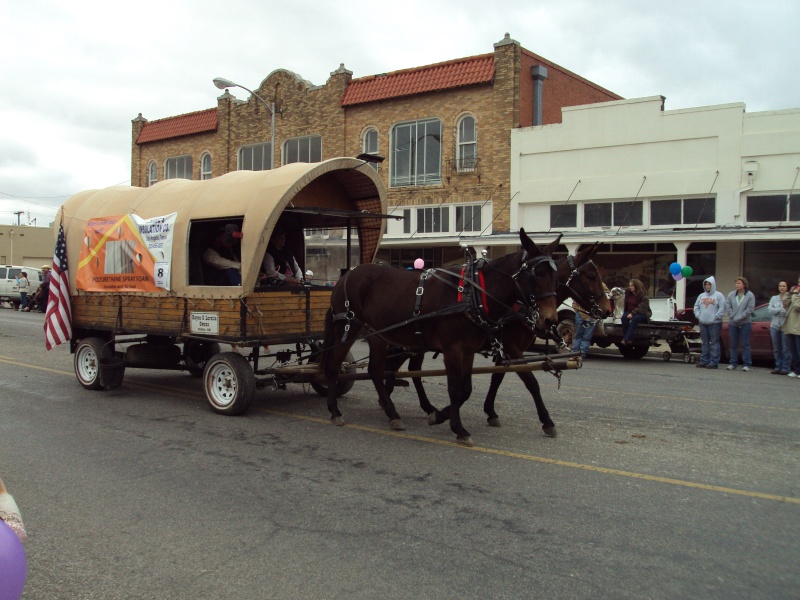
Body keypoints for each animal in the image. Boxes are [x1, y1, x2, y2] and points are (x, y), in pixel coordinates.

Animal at [316, 230, 560, 446]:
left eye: (555, 276)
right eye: (537, 274)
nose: (550, 320)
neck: (473, 293)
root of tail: (344, 276)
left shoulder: (469, 350)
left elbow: (466, 389)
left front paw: (439, 416)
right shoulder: (453, 349)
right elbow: (456, 389)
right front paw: (458, 428)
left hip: (377, 335)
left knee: (375, 371)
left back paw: (392, 414)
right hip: (348, 327)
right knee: (334, 365)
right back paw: (335, 410)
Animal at [390, 243, 608, 436]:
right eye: (591, 276)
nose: (607, 310)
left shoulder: (503, 350)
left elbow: (496, 378)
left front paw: (489, 411)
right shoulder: (512, 347)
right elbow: (531, 383)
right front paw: (546, 421)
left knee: (410, 370)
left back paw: (416, 403)